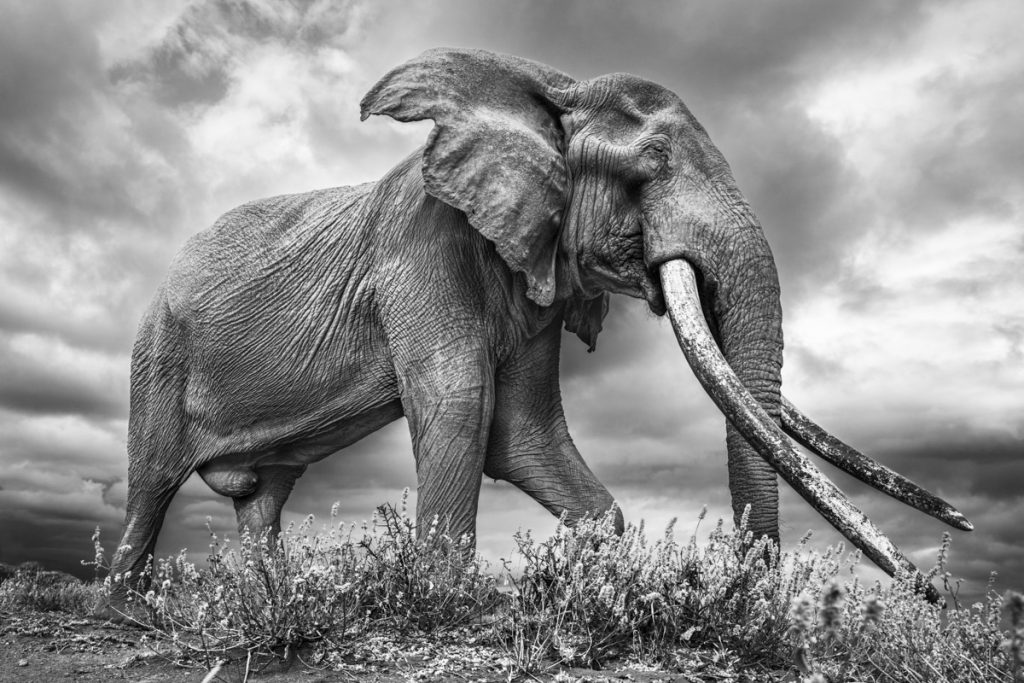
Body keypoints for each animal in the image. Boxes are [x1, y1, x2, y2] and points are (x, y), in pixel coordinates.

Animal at [103, 48, 971, 611]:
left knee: (266, 497)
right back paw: (123, 608)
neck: (550, 91)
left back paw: (259, 599)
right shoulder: (422, 245)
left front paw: (586, 574)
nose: (939, 586)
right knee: (152, 481)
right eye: (651, 165)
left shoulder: (538, 280)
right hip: (158, 350)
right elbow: (462, 408)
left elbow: (522, 434)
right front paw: (441, 599)